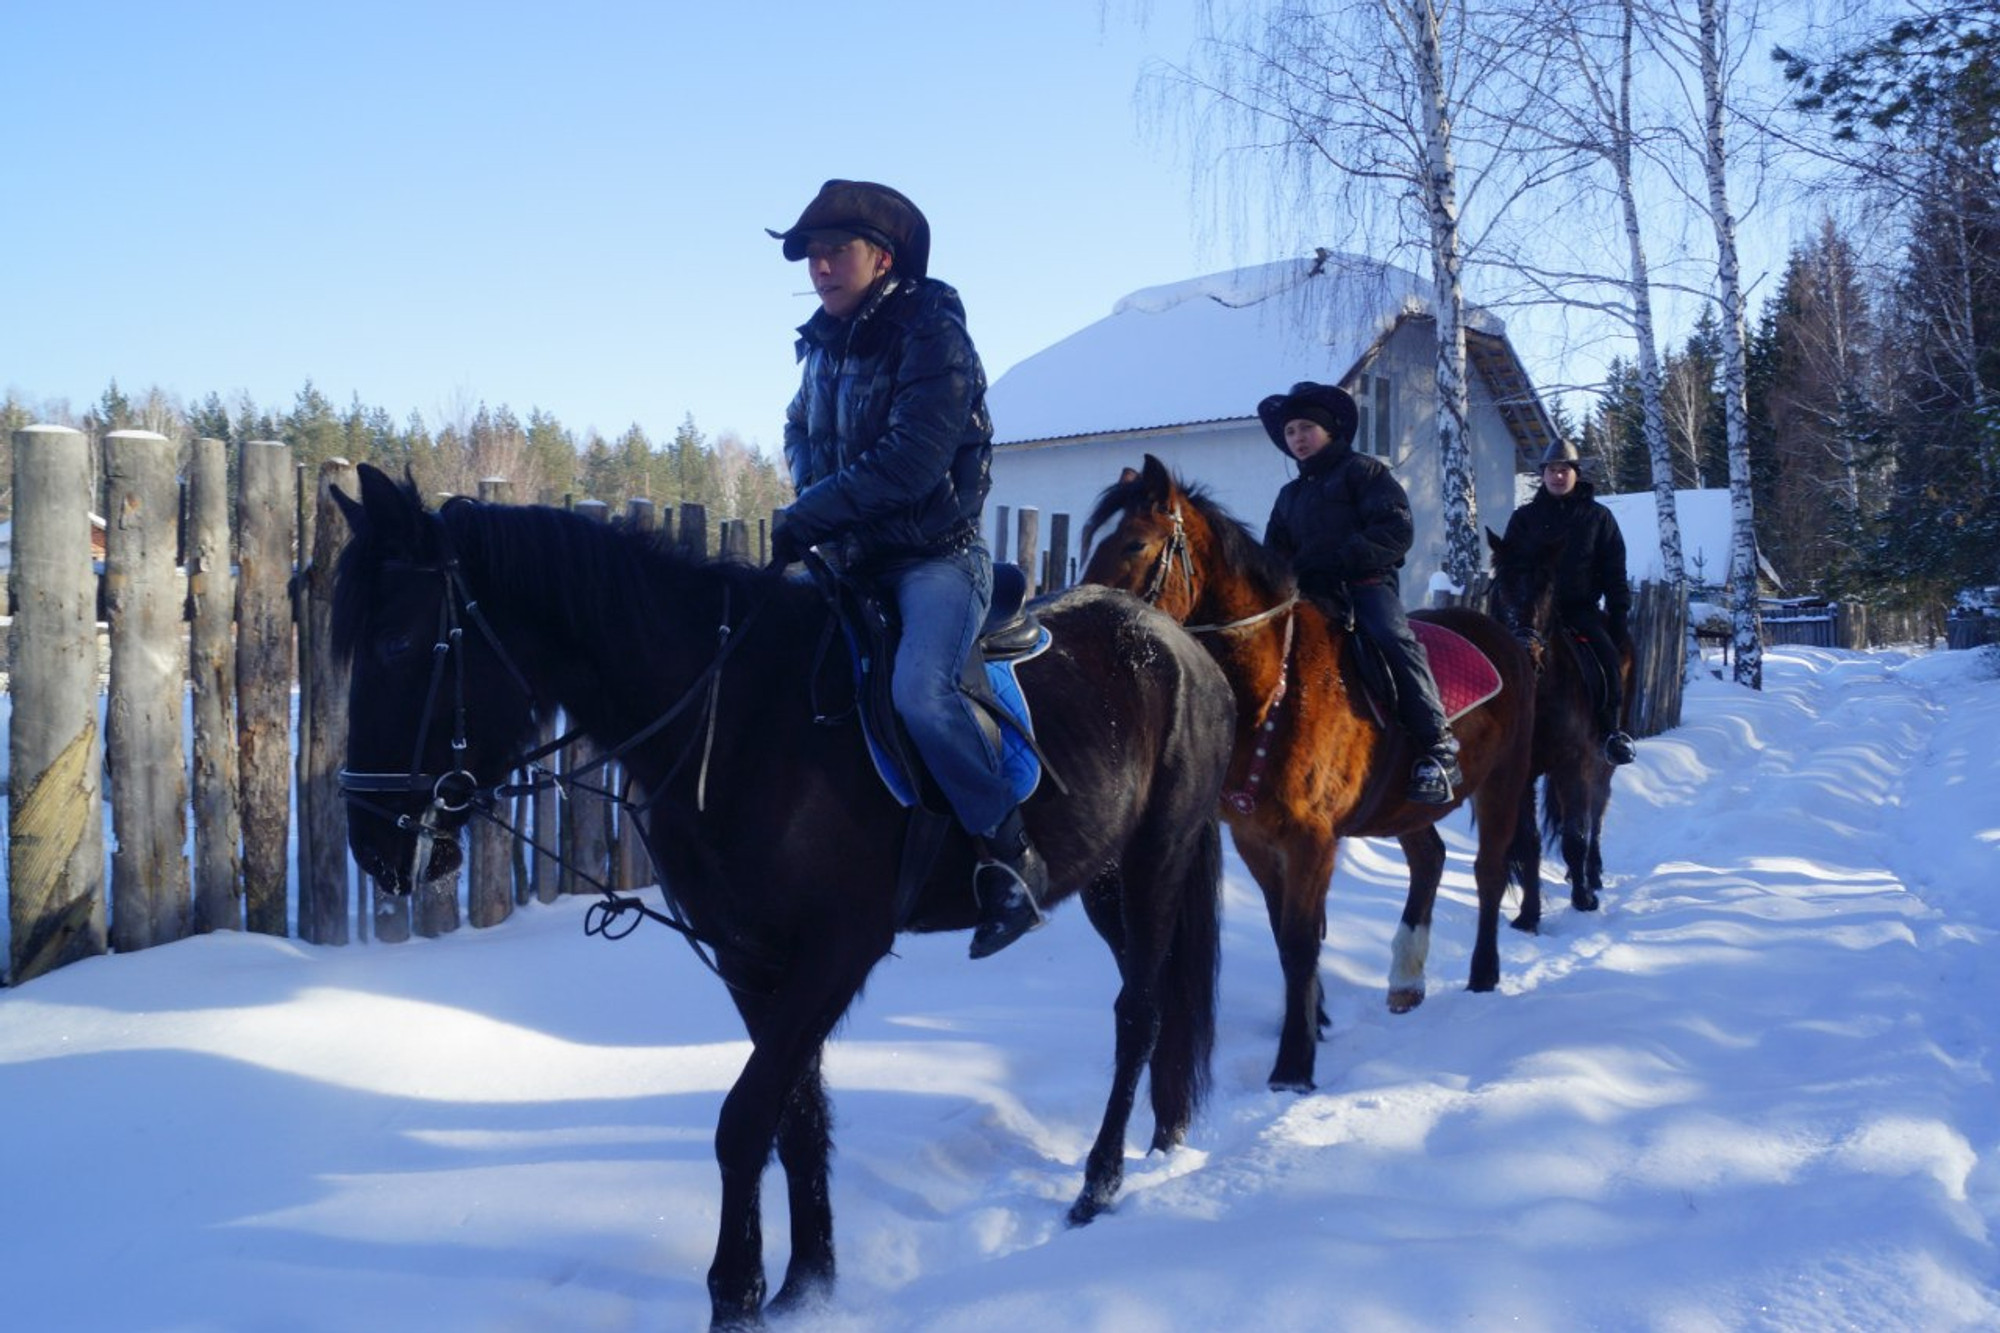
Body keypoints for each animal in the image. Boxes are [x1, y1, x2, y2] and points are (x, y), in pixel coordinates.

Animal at [330, 466, 1232, 1328]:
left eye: (399, 640)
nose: (371, 842)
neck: (737, 721)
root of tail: (1183, 649)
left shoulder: (837, 951)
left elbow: (745, 1118)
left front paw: (735, 1293)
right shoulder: (749, 956)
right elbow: (795, 1116)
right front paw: (806, 1285)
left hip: (1154, 862)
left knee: (1139, 1012)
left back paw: (1099, 1182)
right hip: (1105, 881)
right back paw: (1160, 1135)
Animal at [1088, 456, 1536, 1088]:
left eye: (1133, 542)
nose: (1092, 625)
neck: (1273, 684)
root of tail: (1506, 639)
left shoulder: (1310, 839)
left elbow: (1301, 942)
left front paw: (1294, 1063)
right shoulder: (1255, 838)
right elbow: (1285, 935)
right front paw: (1311, 1020)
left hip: (1504, 785)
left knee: (1489, 872)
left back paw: (1483, 973)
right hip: (1403, 806)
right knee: (1430, 859)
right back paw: (1406, 979)